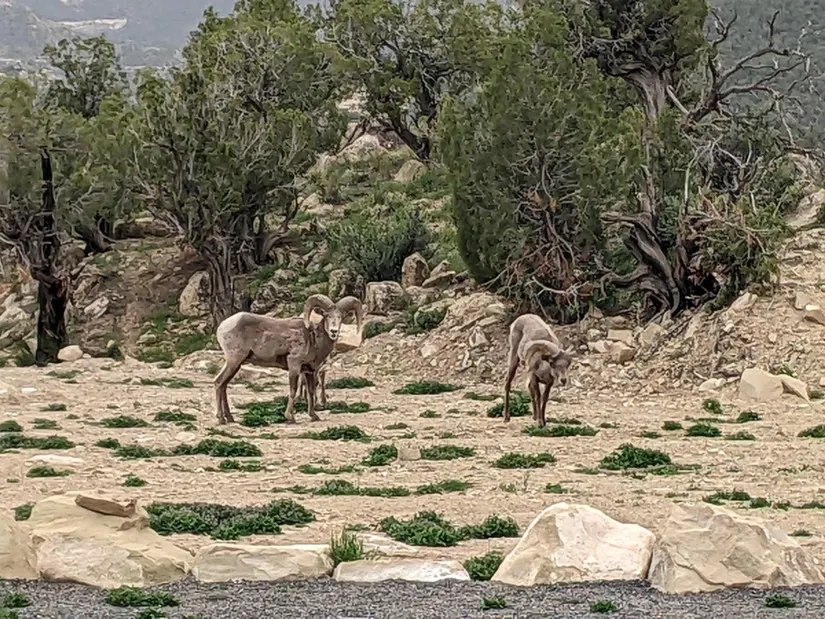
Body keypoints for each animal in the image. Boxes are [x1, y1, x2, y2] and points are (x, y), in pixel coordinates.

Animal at [214, 294, 363, 425]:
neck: (314, 338)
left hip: (236, 364)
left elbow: (311, 391)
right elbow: (293, 390)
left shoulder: (309, 371)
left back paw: (229, 418)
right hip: (234, 361)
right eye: (326, 315)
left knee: (223, 385)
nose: (333, 331)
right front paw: (290, 417)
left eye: (340, 317)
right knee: (219, 383)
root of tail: (222, 326)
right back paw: (221, 419)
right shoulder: (294, 365)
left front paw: (314, 416)